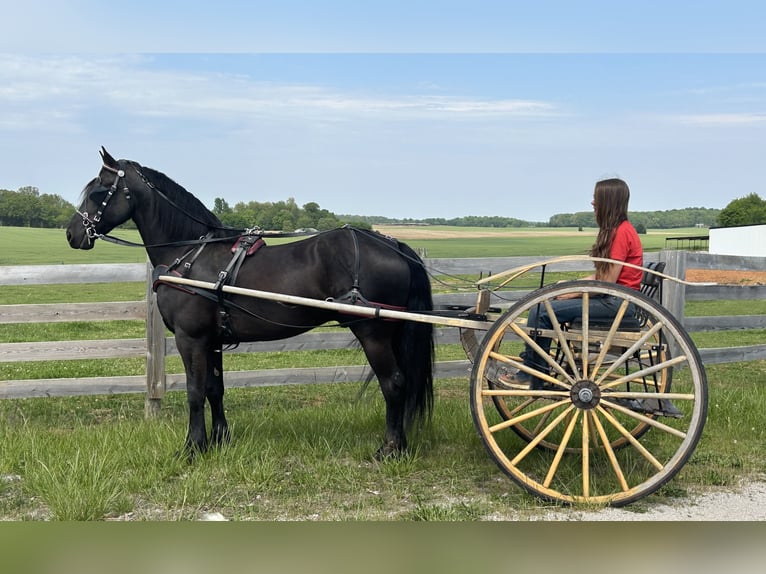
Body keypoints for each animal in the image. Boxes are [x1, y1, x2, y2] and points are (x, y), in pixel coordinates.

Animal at [66, 147, 436, 460]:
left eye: (99, 191)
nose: (73, 234)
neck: (189, 254)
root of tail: (390, 243)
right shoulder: (212, 340)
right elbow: (214, 388)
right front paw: (219, 439)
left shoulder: (190, 338)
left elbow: (194, 391)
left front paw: (192, 447)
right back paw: (400, 444)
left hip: (372, 332)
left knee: (394, 383)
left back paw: (390, 448)